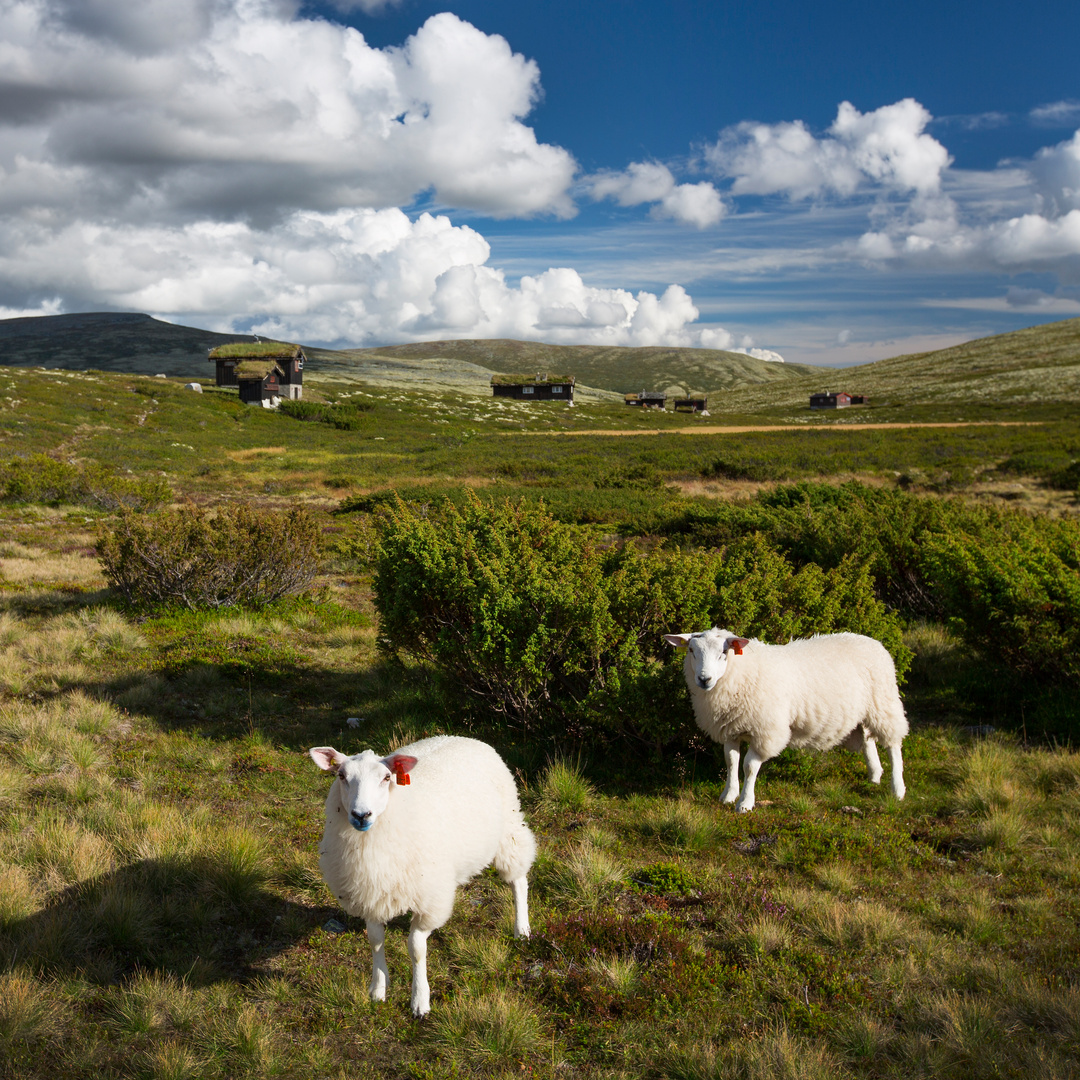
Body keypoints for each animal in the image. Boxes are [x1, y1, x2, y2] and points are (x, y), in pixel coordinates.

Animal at [308, 730, 535, 1015]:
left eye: (386, 778)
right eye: (341, 776)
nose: (361, 815)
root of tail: (463, 736)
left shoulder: (428, 899)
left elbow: (416, 947)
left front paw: (420, 1000)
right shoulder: (370, 893)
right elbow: (375, 940)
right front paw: (378, 988)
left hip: (509, 828)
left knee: (519, 880)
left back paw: (522, 929)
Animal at [660, 630, 907, 812]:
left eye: (724, 652)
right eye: (691, 650)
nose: (704, 679)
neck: (743, 672)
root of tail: (872, 641)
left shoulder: (765, 731)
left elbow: (749, 766)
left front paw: (745, 803)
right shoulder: (730, 729)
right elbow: (731, 761)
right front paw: (728, 795)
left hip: (884, 702)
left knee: (894, 745)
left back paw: (897, 789)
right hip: (865, 711)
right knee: (867, 738)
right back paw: (874, 775)